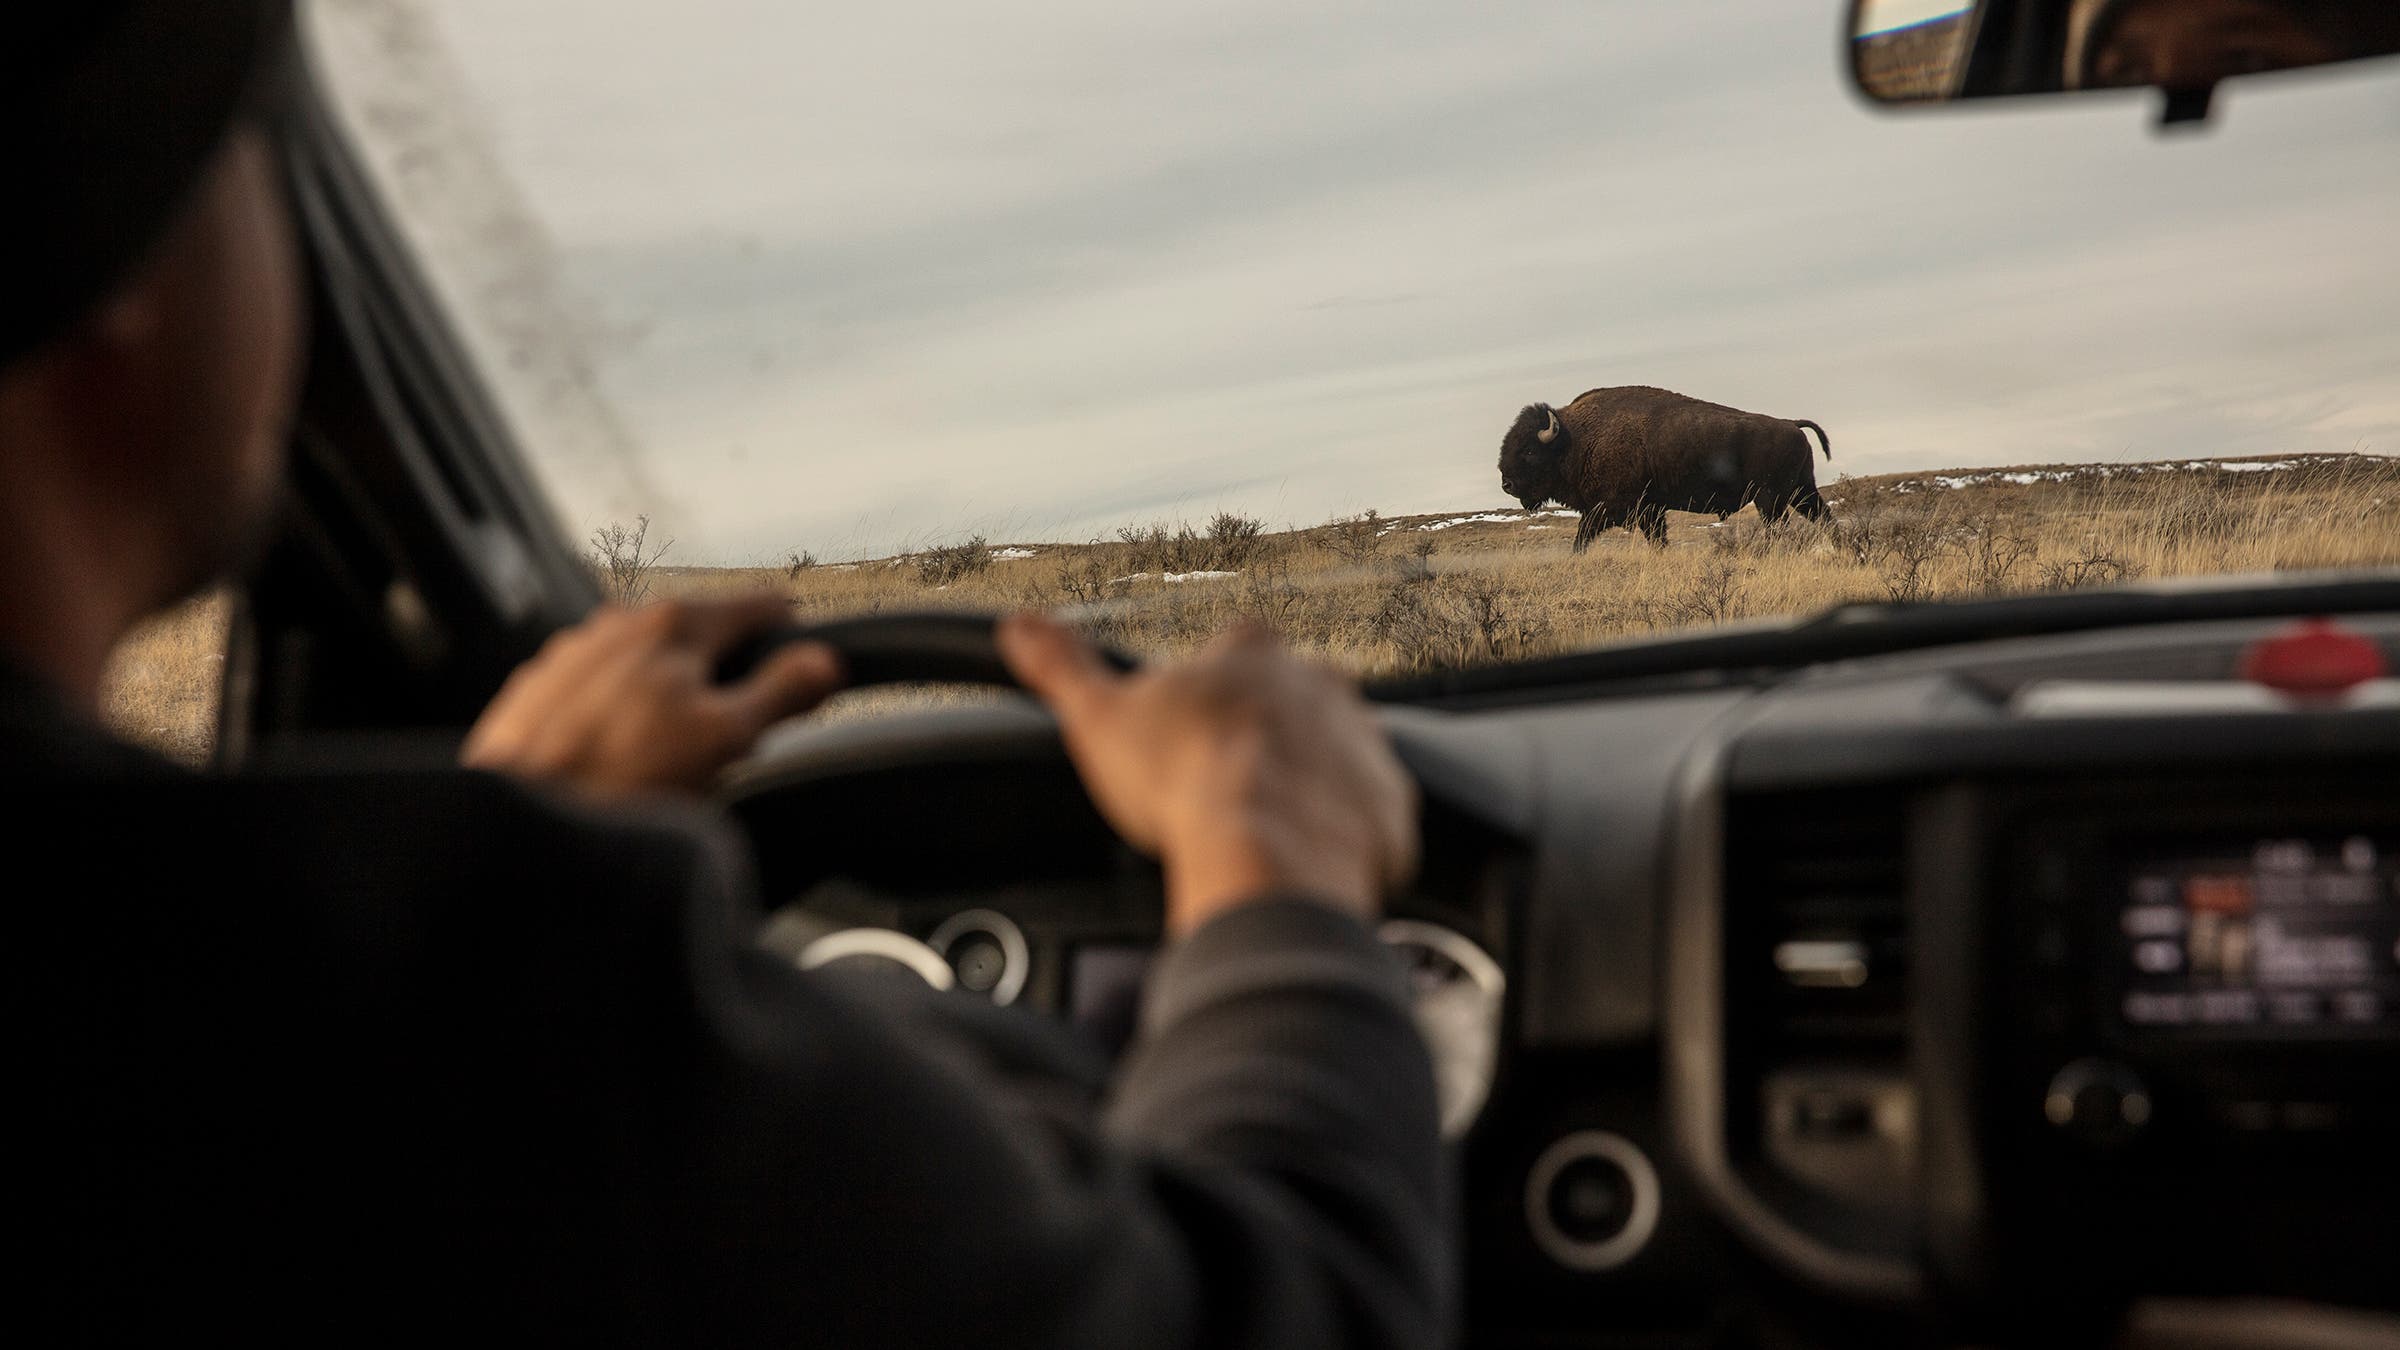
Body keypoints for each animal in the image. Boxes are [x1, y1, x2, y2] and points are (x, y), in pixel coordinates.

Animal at [1497, 385, 1833, 550]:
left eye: (1529, 450)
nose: (1507, 483)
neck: (1575, 439)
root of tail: (1791, 424)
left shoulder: (1608, 509)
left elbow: (1582, 537)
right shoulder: (1650, 510)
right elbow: (1657, 539)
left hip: (1770, 498)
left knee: (1779, 527)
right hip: (1802, 491)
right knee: (1824, 517)